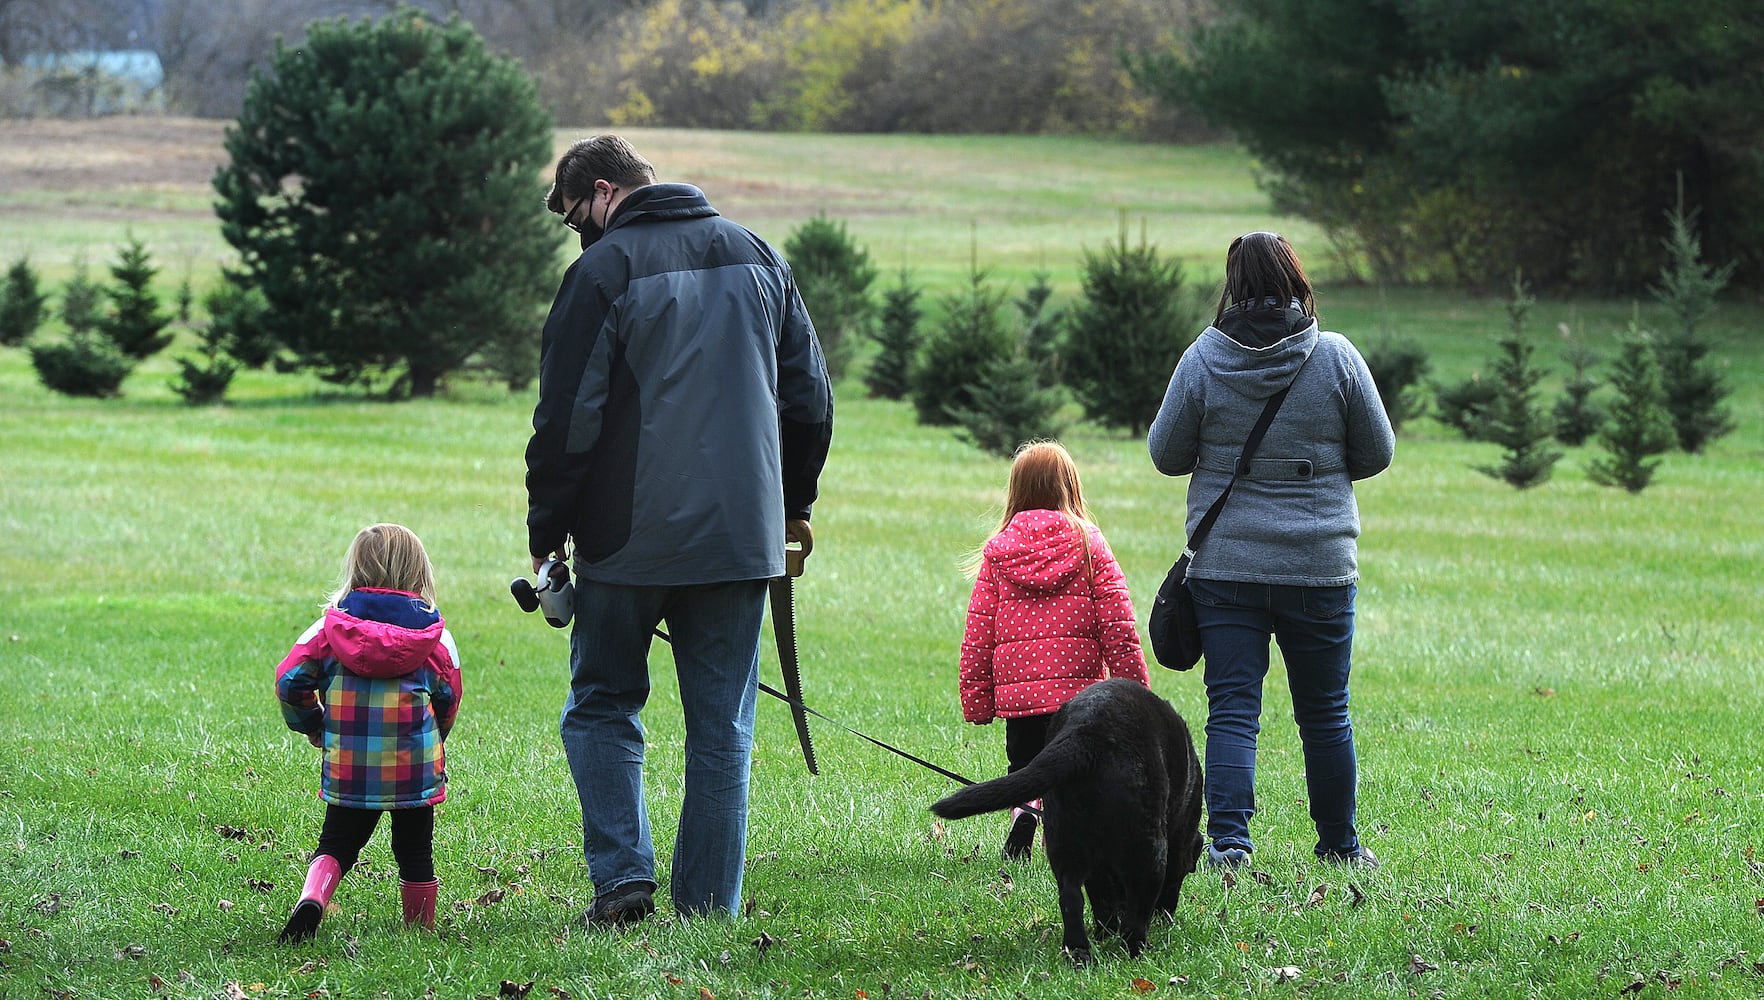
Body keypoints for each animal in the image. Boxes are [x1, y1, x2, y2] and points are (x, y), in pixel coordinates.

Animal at [931, 677, 1206, 966]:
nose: (1166, 918)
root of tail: (1085, 732)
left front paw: (1105, 933)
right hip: (1148, 851)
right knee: (1135, 912)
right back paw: (1135, 951)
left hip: (1064, 844)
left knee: (1071, 899)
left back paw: (1079, 952)